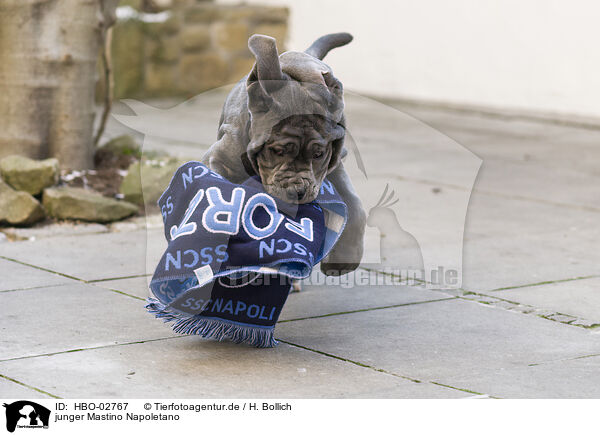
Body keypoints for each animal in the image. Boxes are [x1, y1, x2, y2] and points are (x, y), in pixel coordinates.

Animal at [202, 33, 366, 276]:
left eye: (318, 154)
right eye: (277, 151)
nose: (297, 192)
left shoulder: (332, 165)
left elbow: (354, 203)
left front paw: (344, 260)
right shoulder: (221, 156)